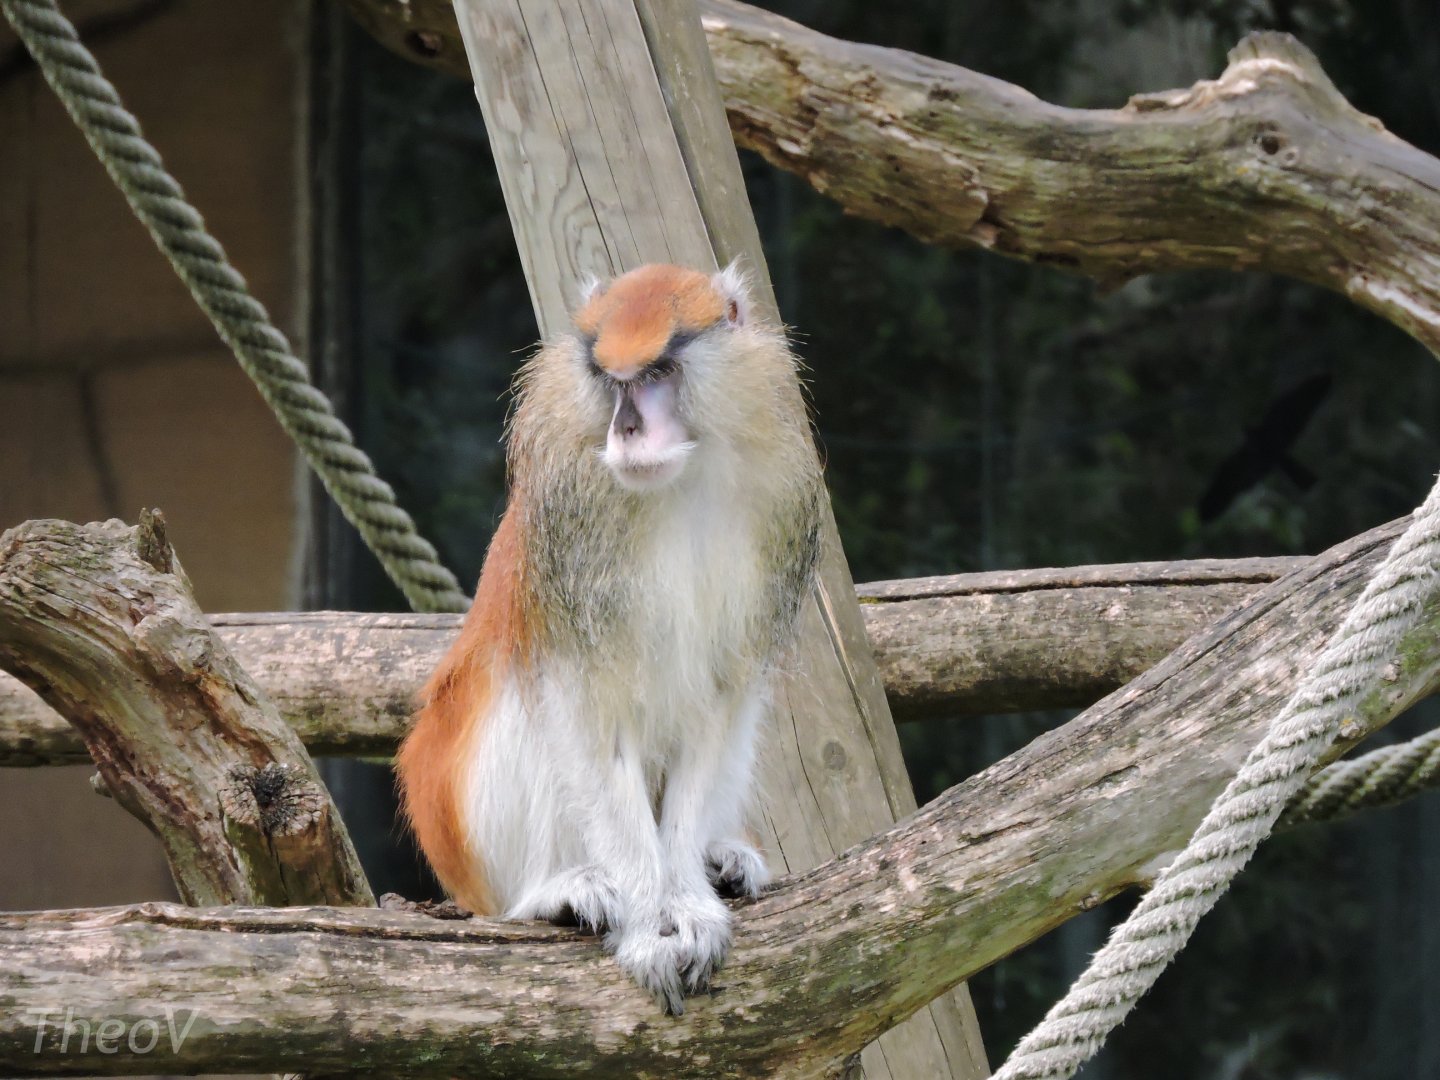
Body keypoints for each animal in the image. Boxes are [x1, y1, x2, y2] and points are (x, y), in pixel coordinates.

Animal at [396, 262, 823, 1014]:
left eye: (660, 372)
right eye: (609, 379)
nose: (626, 427)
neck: (681, 484)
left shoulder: (775, 510)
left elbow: (716, 704)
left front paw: (690, 898)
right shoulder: (572, 547)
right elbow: (583, 713)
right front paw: (651, 926)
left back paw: (719, 857)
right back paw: (553, 894)